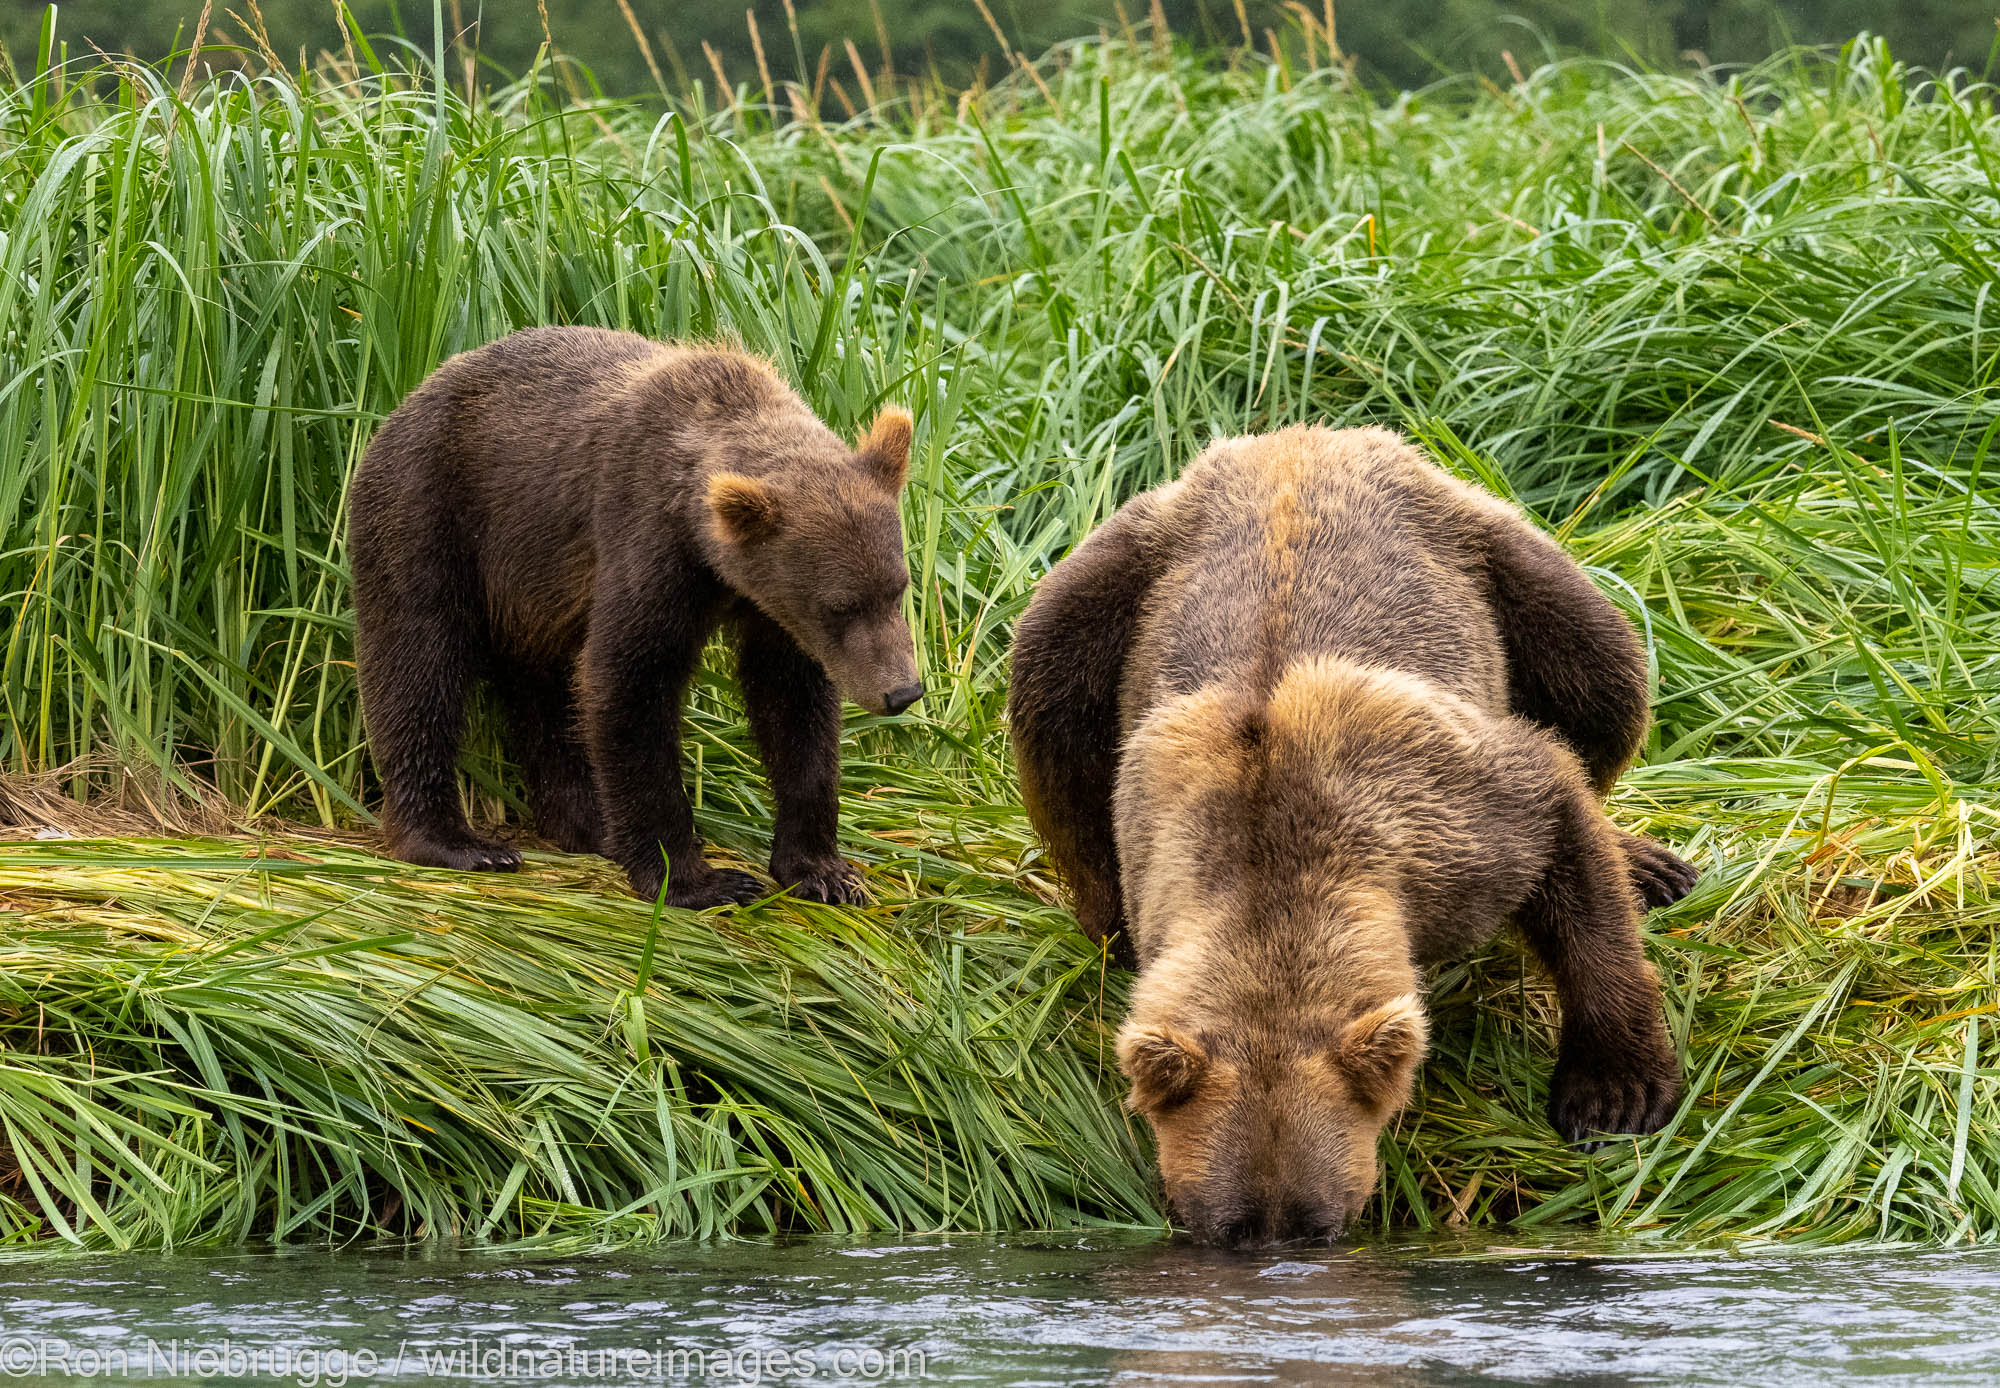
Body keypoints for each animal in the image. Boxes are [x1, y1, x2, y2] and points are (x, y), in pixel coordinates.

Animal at [350, 328, 920, 912]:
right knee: (418, 661)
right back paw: (456, 842)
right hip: (431, 512)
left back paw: (586, 823)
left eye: (898, 588)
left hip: (533, 591)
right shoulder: (647, 540)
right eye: (840, 605)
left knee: (545, 694)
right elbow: (629, 685)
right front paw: (698, 878)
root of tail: (407, 400)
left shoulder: (773, 612)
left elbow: (793, 707)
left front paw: (824, 871)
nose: (902, 692)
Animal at [1008, 424, 1696, 1248]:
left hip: (1489, 544)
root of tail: (1296, 437)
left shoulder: (1450, 818)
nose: (1280, 1248)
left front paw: (1615, 1095)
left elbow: (1561, 827)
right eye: (1229, 1225)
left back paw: (1649, 864)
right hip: (1115, 572)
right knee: (1048, 698)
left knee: (1602, 678)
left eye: (1318, 1222)